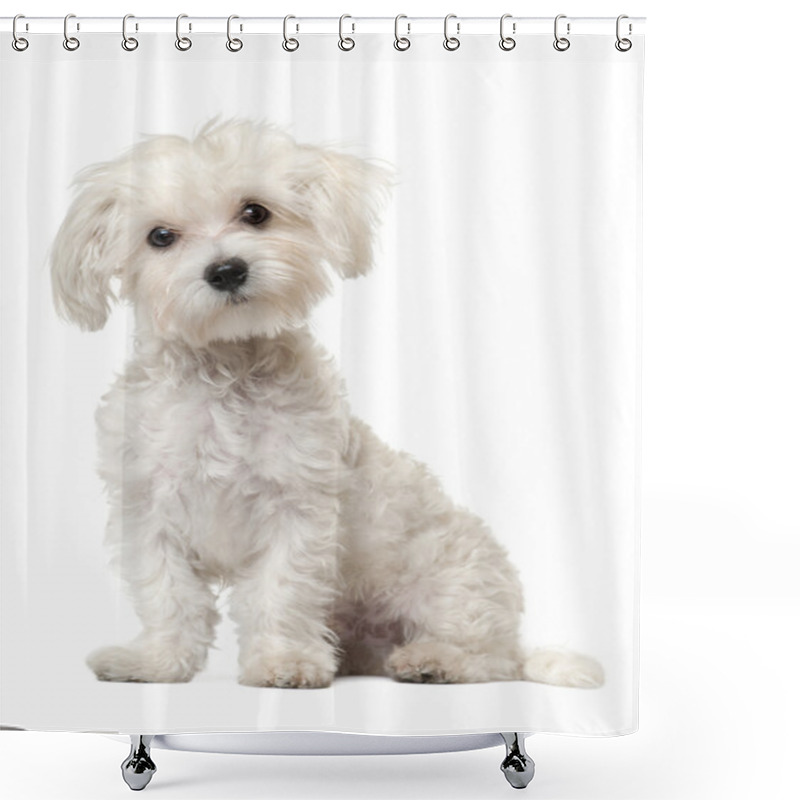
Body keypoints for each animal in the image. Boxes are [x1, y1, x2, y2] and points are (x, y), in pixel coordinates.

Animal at [50, 119, 600, 688]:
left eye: (255, 212)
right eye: (160, 237)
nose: (226, 270)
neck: (223, 378)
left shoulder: (296, 511)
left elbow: (280, 595)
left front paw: (282, 662)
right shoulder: (149, 514)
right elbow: (169, 598)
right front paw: (158, 662)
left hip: (456, 588)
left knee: (491, 658)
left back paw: (434, 661)